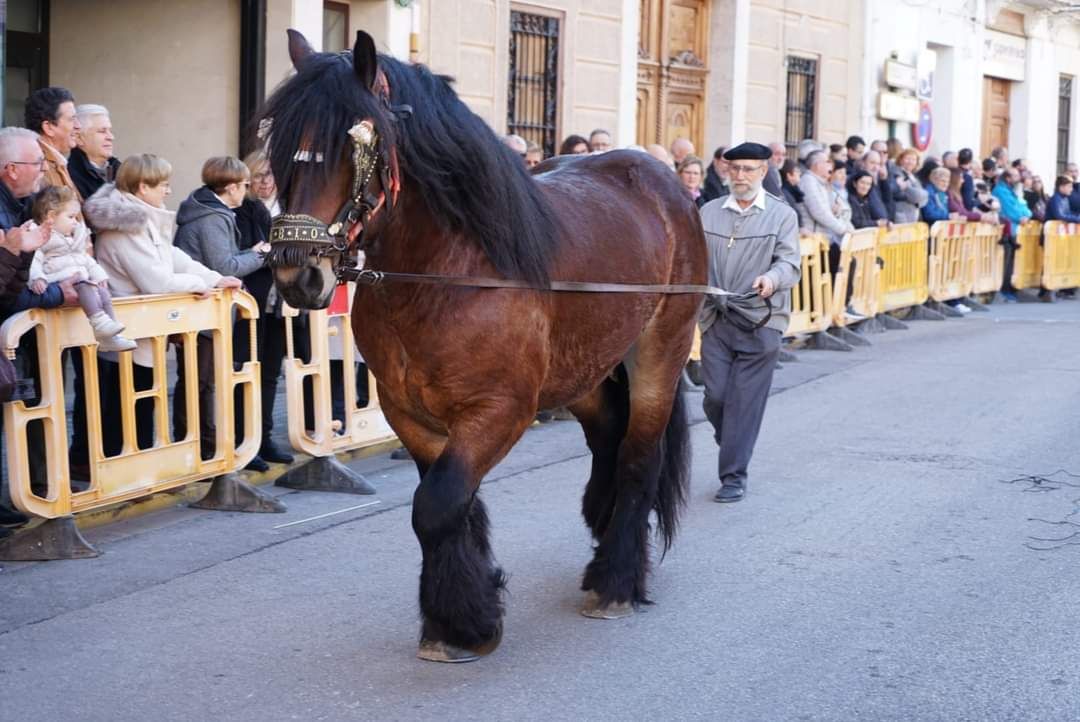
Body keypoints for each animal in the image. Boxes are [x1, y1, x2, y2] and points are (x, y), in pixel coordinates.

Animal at [258, 32, 704, 664]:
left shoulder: (500, 411)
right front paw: (453, 618)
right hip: (585, 371)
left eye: (356, 144)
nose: (298, 275)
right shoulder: (409, 413)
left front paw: (468, 621)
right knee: (607, 441)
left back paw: (616, 581)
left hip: (660, 352)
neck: (446, 273)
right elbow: (448, 505)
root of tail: (666, 182)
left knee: (638, 458)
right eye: (279, 144)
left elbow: (437, 505)